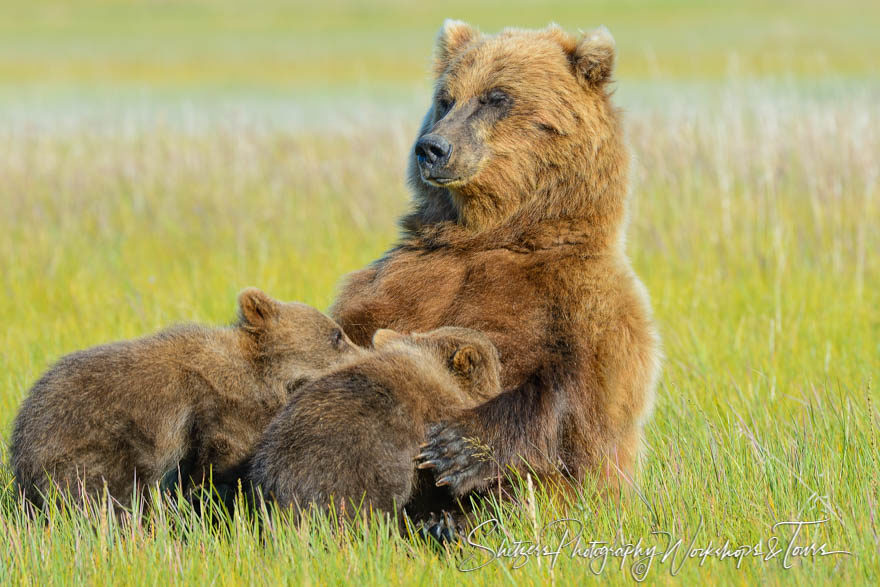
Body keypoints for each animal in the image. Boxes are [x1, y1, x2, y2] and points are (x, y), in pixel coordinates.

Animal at [330, 20, 660, 520]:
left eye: (496, 96)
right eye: (446, 98)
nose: (432, 148)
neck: (493, 235)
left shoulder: (583, 303)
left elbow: (577, 399)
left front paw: (457, 448)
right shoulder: (407, 277)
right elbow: (353, 329)